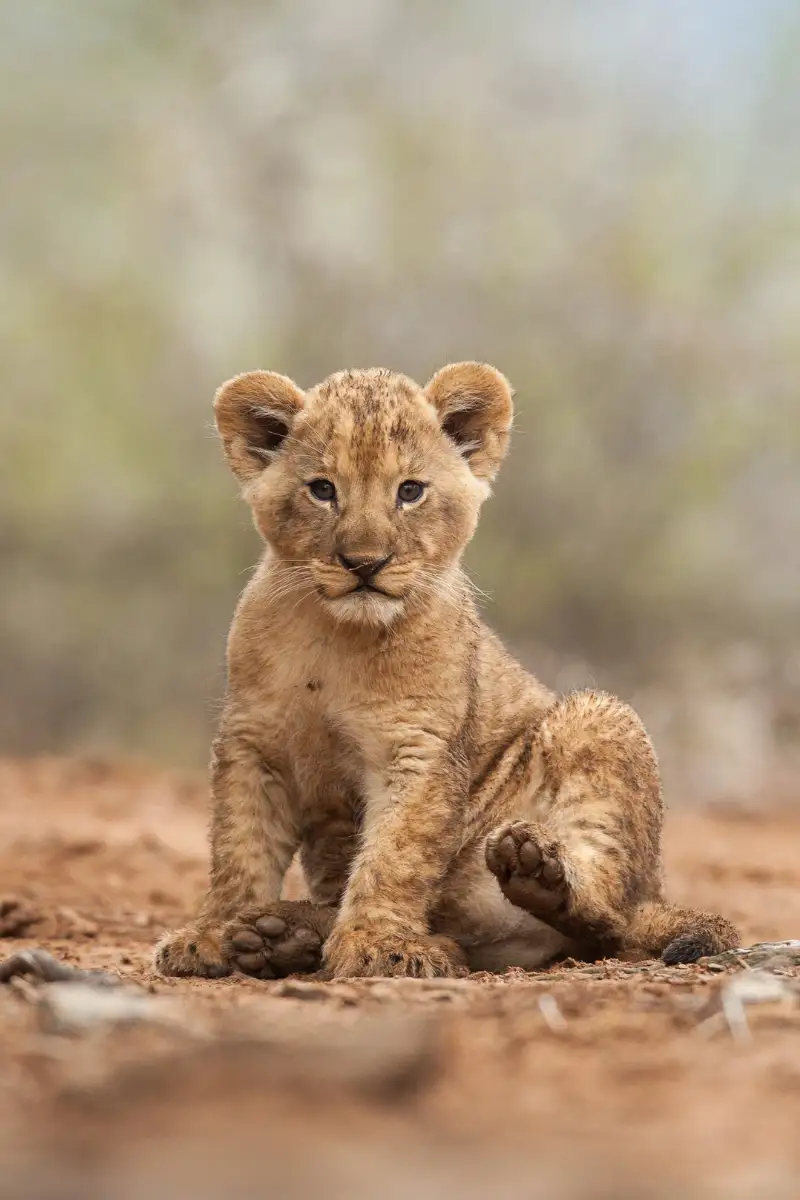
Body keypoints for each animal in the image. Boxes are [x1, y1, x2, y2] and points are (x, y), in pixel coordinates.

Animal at [154, 362, 738, 980]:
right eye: (322, 489)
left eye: (410, 491)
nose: (364, 563)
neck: (340, 638)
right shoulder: (252, 744)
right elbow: (238, 848)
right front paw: (211, 934)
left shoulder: (418, 748)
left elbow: (395, 854)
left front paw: (379, 943)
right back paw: (276, 934)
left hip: (600, 720)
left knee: (609, 920)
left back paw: (539, 874)